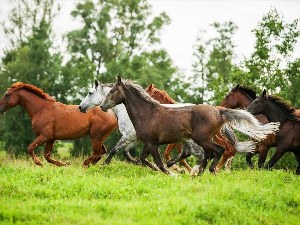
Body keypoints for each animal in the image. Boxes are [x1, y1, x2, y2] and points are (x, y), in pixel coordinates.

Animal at [100, 76, 278, 175]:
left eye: (112, 92)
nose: (102, 106)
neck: (147, 113)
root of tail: (219, 111)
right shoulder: (148, 143)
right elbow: (144, 159)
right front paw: (163, 170)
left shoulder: (153, 143)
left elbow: (159, 161)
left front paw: (173, 174)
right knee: (213, 153)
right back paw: (200, 172)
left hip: (202, 138)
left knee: (219, 151)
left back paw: (208, 171)